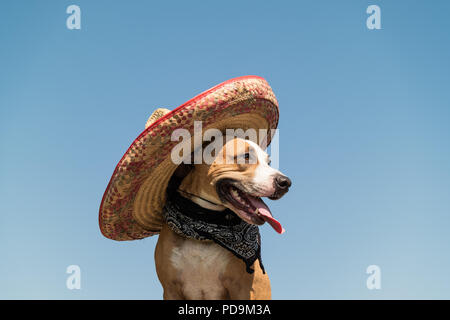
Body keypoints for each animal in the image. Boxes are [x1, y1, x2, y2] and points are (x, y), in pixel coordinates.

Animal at [155, 138, 292, 300]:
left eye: (268, 162)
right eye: (246, 156)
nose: (286, 182)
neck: (205, 225)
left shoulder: (242, 289)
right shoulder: (170, 289)